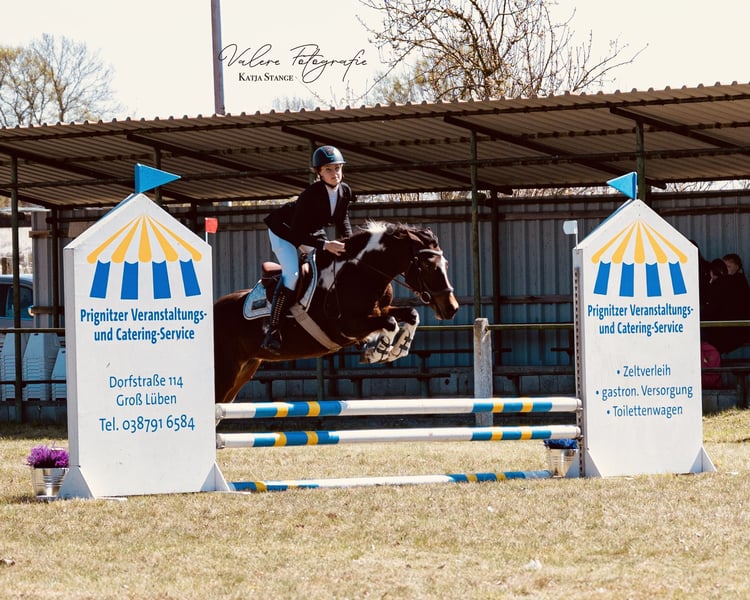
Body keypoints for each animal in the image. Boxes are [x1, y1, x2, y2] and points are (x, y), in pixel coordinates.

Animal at [213, 221, 460, 403]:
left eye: (447, 264)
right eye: (427, 265)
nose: (451, 308)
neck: (360, 271)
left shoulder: (379, 311)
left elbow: (410, 314)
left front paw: (397, 350)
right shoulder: (346, 326)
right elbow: (390, 322)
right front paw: (377, 353)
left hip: (244, 370)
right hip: (225, 372)